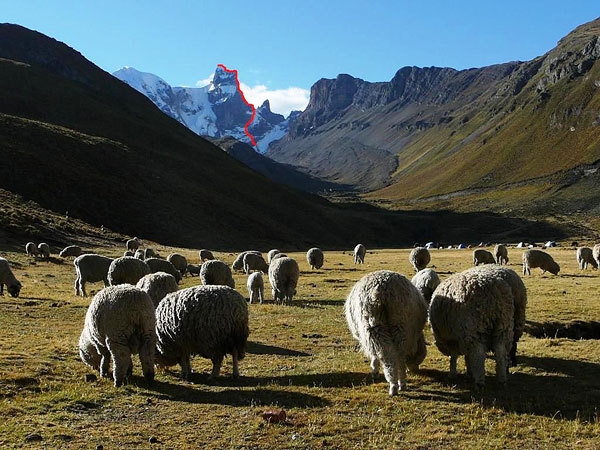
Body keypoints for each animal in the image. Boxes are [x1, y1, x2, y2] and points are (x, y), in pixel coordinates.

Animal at [344, 268, 428, 396]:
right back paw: (401, 383)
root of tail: (382, 290)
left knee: (387, 356)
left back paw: (393, 385)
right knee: (400, 356)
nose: (415, 371)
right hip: (400, 324)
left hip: (374, 327)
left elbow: (374, 355)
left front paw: (374, 370)